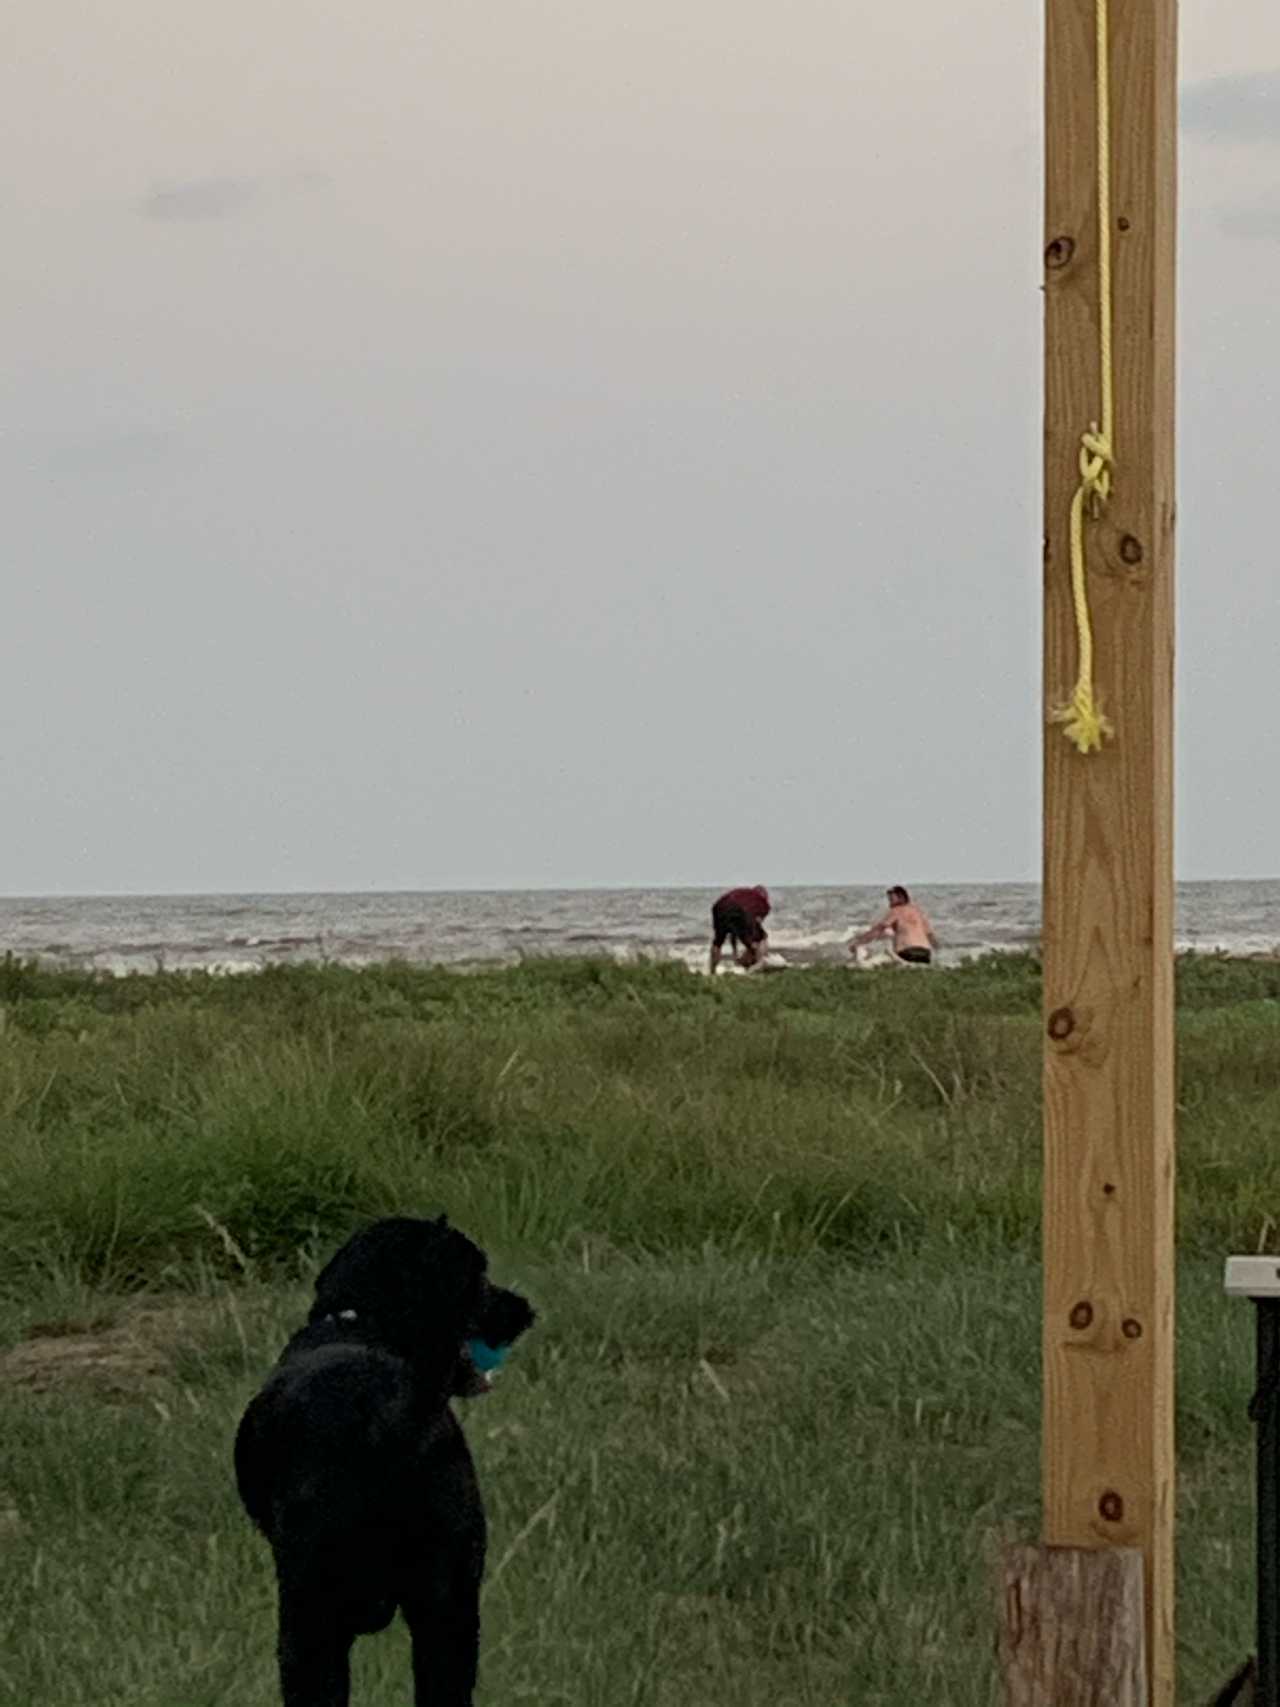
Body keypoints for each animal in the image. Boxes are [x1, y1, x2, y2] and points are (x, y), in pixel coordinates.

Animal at [235, 1215, 535, 1707]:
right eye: (479, 1278)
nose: (524, 1310)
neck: (362, 1324)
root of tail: (384, 1416)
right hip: (449, 1602)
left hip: (309, 1615)